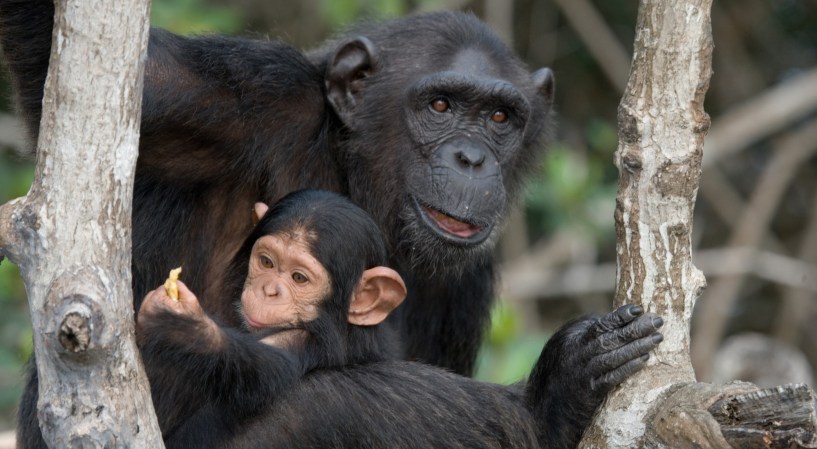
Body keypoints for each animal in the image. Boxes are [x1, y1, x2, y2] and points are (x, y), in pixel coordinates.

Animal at [135, 189, 664, 448]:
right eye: (266, 261)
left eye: (299, 277)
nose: (269, 289)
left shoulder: (300, 342)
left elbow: (261, 369)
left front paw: (181, 323)